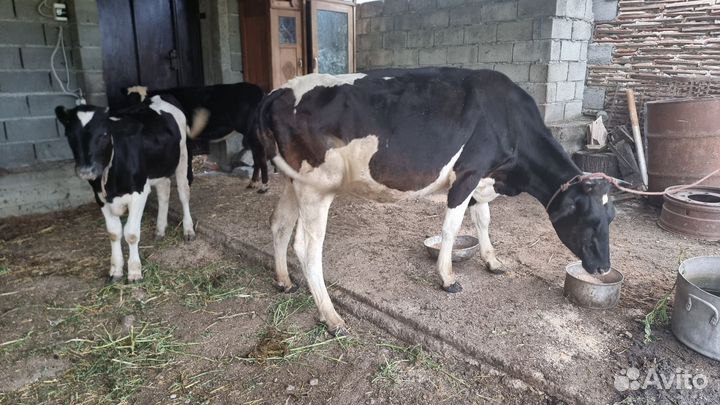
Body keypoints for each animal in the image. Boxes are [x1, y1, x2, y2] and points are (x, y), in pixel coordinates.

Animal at [55, 95, 195, 283]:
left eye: (104, 133)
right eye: (70, 135)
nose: (86, 170)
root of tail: (159, 96)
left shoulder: (139, 193)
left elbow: (131, 234)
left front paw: (135, 272)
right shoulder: (100, 197)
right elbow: (114, 233)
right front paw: (116, 271)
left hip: (183, 156)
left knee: (183, 193)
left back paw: (188, 230)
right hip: (160, 168)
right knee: (164, 191)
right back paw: (160, 230)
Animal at [124, 82, 268, 191]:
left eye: (145, 101)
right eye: (129, 100)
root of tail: (257, 89)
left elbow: (187, 159)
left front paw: (187, 181)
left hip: (250, 130)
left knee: (259, 155)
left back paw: (260, 185)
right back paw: (254, 183)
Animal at [252, 67, 616, 336]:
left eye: (611, 217)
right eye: (589, 220)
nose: (603, 267)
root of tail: (278, 91)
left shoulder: (483, 179)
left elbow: (483, 220)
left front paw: (492, 261)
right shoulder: (467, 174)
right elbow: (451, 228)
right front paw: (448, 277)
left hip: (295, 182)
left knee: (279, 224)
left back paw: (284, 281)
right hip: (316, 187)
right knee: (307, 248)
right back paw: (331, 317)